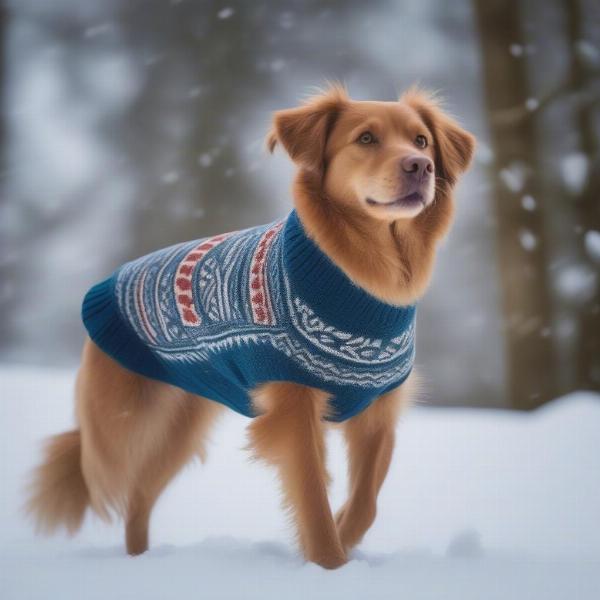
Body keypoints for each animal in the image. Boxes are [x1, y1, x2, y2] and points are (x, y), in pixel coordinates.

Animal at [25, 84, 474, 568]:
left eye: (422, 141)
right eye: (366, 139)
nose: (420, 166)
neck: (362, 280)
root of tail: (108, 281)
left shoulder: (378, 413)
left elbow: (365, 504)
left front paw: (344, 538)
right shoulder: (294, 410)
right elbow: (313, 502)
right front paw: (329, 564)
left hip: (183, 426)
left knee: (139, 497)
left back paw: (140, 560)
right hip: (117, 426)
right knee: (100, 473)